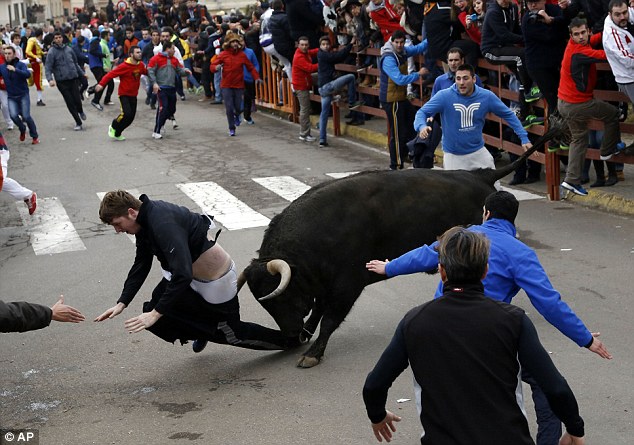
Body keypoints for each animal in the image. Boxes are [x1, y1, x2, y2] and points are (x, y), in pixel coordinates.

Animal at [239, 126, 556, 366]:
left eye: (280, 295)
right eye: (265, 302)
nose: (291, 335)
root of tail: (478, 174)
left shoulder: (347, 284)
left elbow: (329, 318)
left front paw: (313, 354)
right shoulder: (324, 285)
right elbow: (318, 312)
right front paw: (308, 335)